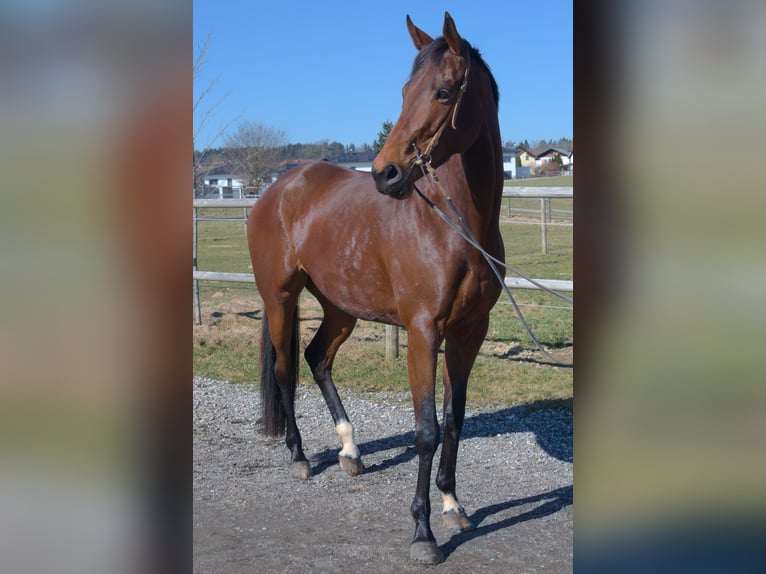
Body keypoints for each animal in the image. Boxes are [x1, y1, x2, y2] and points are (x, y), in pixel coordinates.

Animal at [247, 12, 504, 565]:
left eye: (444, 92)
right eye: (405, 91)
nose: (387, 174)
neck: (456, 224)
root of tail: (277, 189)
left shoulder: (470, 330)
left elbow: (454, 419)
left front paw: (453, 505)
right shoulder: (424, 331)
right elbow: (426, 430)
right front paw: (423, 534)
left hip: (341, 308)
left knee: (316, 358)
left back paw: (349, 449)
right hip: (280, 299)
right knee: (284, 369)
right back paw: (300, 456)